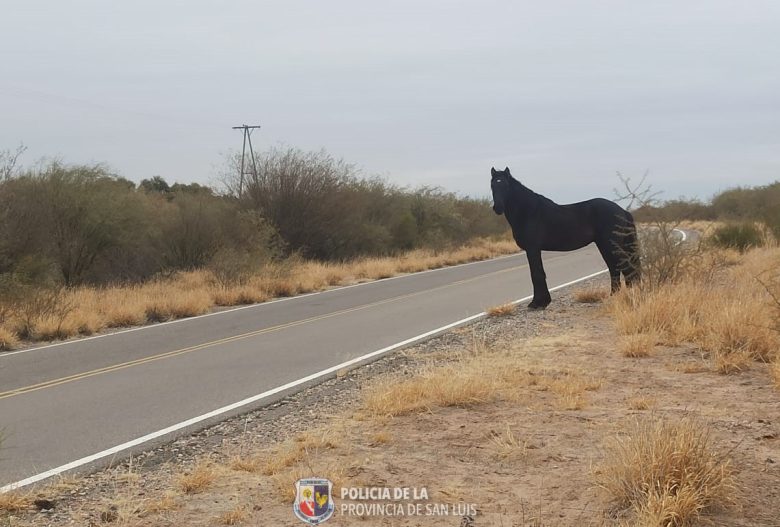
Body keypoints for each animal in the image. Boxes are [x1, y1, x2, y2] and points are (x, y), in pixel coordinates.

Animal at [490, 167, 640, 309]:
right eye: (492, 185)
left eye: (506, 185)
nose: (498, 208)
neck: (529, 212)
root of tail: (622, 211)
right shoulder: (533, 249)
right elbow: (538, 273)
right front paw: (542, 302)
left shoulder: (532, 249)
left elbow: (536, 274)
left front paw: (537, 303)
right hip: (605, 245)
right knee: (615, 269)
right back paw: (614, 296)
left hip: (610, 244)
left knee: (626, 268)